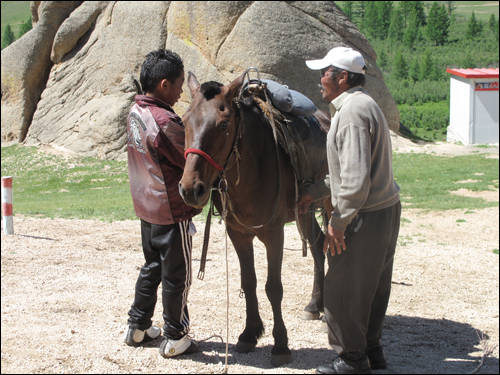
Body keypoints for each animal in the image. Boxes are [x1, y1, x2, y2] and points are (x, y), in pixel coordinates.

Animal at [179, 71, 328, 368]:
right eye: (185, 121)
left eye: (224, 124)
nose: (191, 189)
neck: (253, 168)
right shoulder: (238, 234)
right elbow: (249, 282)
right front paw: (249, 334)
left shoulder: (274, 234)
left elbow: (273, 287)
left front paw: (280, 345)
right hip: (304, 211)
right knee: (318, 246)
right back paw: (314, 305)